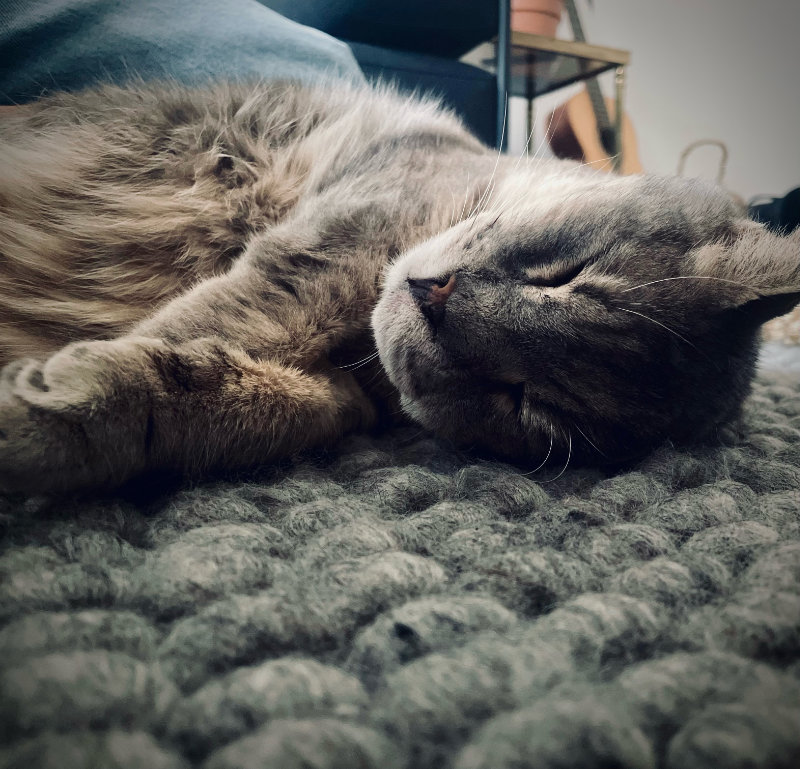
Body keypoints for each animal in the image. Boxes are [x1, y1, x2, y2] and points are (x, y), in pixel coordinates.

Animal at [0, 81, 796, 496]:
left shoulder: (345, 391)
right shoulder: (325, 251)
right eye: (565, 278)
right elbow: (228, 318)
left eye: (529, 404)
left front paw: (76, 409)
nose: (435, 302)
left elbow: (263, 404)